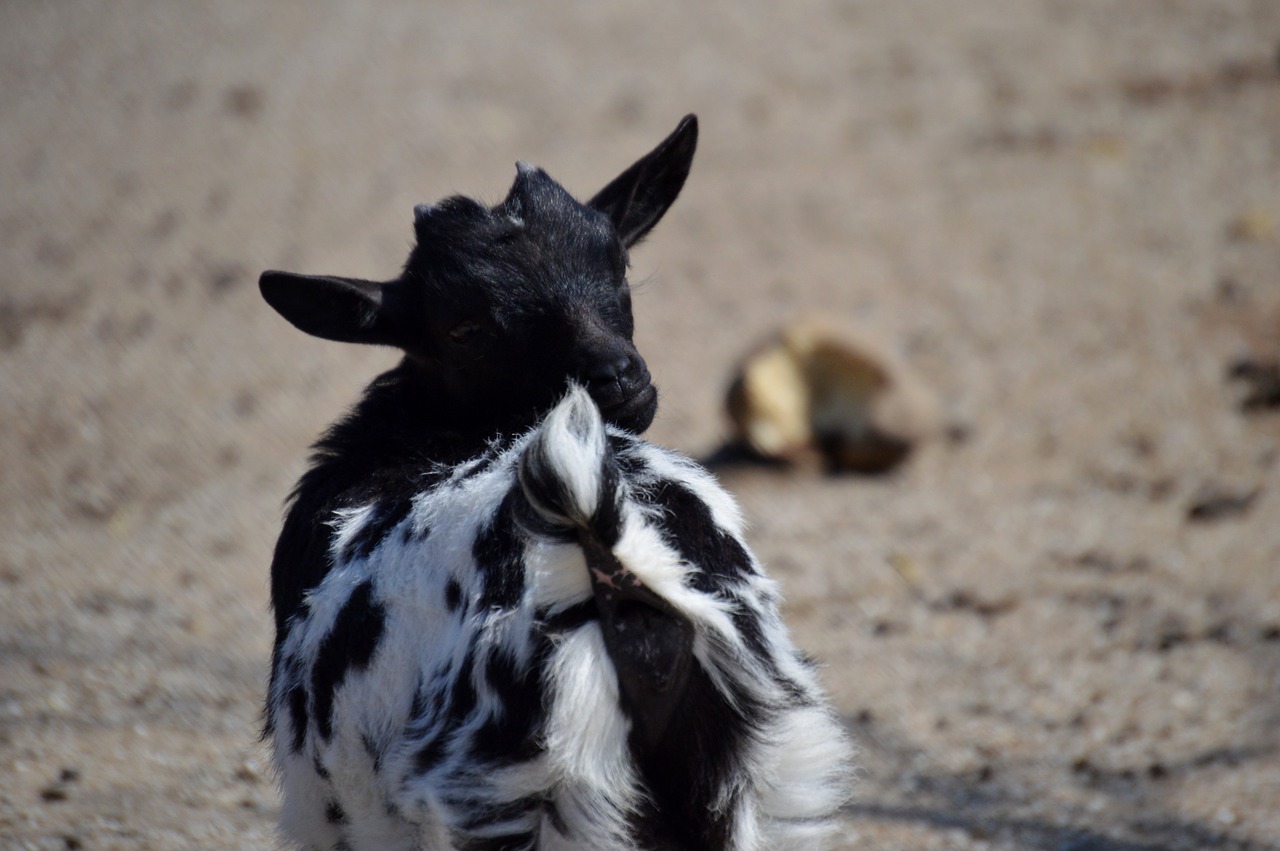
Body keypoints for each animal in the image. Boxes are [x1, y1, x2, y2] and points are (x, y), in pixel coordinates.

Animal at [258, 116, 849, 844]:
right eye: (464, 326)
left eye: (617, 263)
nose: (618, 377)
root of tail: (609, 551)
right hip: (766, 777)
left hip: (522, 796)